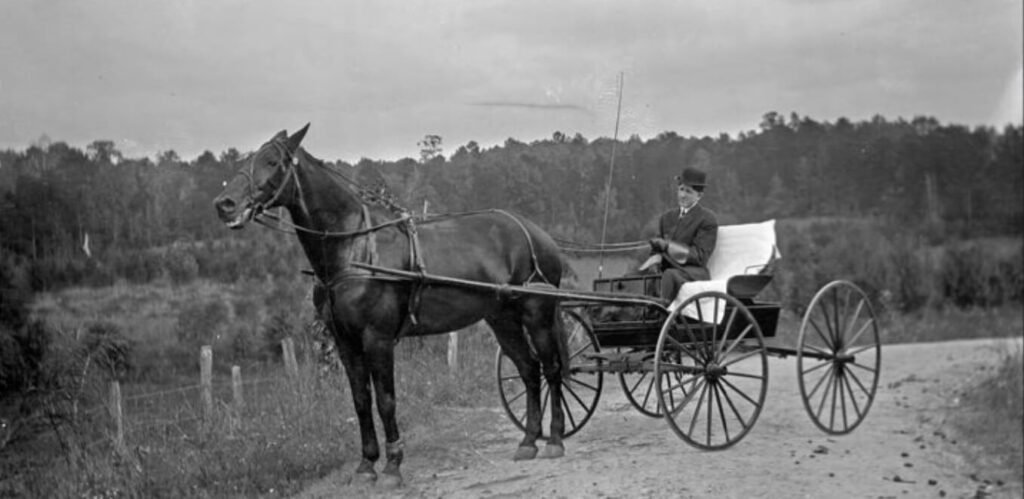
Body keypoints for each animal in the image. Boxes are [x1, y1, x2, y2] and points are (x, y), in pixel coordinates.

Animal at [212, 124, 571, 488]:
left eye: (272, 161)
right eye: (246, 159)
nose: (224, 204)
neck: (354, 247)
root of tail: (537, 234)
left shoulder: (377, 338)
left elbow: (386, 400)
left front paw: (392, 465)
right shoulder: (345, 341)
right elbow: (360, 400)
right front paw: (366, 464)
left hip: (537, 314)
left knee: (551, 369)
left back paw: (554, 439)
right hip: (503, 319)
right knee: (529, 370)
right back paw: (528, 441)